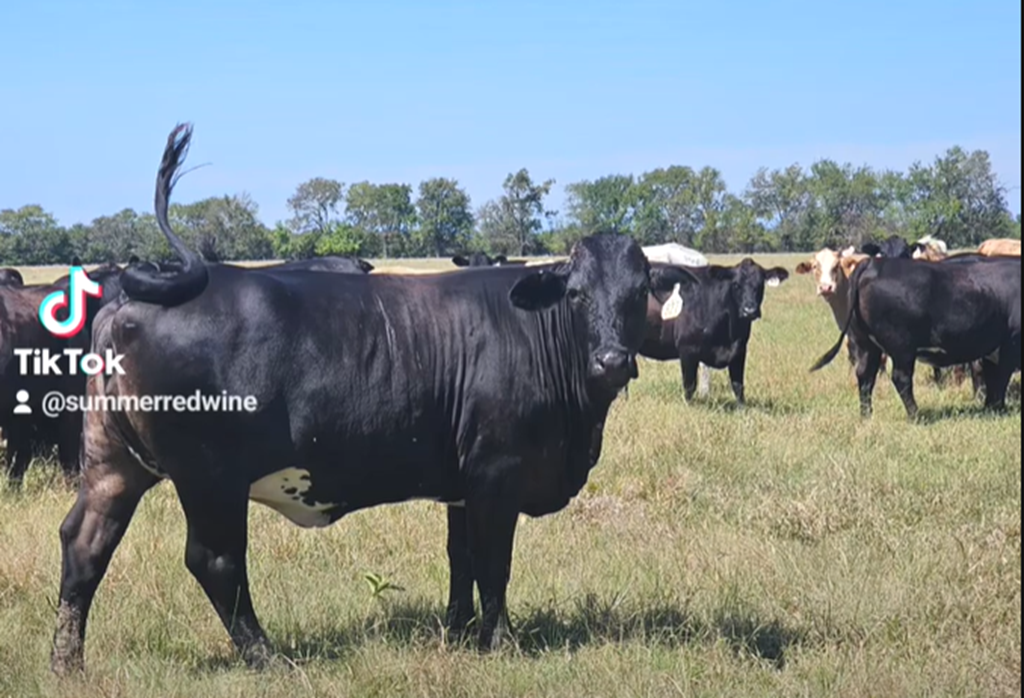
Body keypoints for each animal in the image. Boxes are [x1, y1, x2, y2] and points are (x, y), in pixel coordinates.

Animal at [49, 122, 696, 671]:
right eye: (578, 294)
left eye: (639, 290)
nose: (611, 362)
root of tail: (134, 298)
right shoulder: (497, 474)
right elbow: (494, 562)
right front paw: (501, 641)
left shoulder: (463, 482)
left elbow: (461, 558)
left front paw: (458, 633)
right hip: (210, 479)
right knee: (214, 560)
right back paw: (267, 657)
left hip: (114, 463)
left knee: (85, 543)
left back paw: (67, 663)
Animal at [638, 257, 790, 405]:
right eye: (736, 284)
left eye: (760, 285)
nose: (749, 310)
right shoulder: (687, 349)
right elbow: (689, 386)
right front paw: (688, 407)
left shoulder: (740, 350)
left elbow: (738, 386)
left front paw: (742, 408)